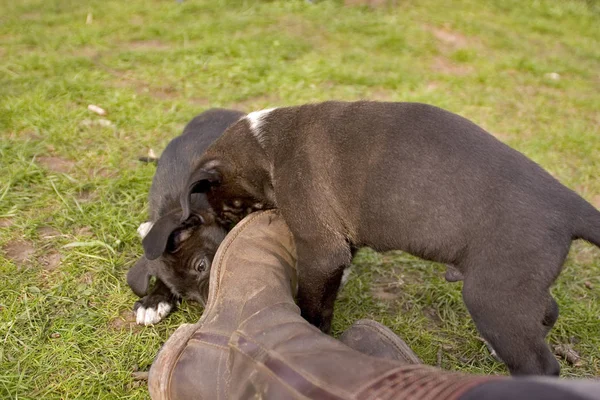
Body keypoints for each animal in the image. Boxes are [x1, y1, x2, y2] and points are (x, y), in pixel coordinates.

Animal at [180, 100, 596, 376]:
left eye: (230, 212)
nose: (225, 239)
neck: (264, 145)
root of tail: (571, 206)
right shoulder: (340, 249)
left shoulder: (321, 250)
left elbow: (314, 305)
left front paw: (314, 332)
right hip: (518, 288)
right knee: (547, 311)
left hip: (493, 298)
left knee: (541, 366)